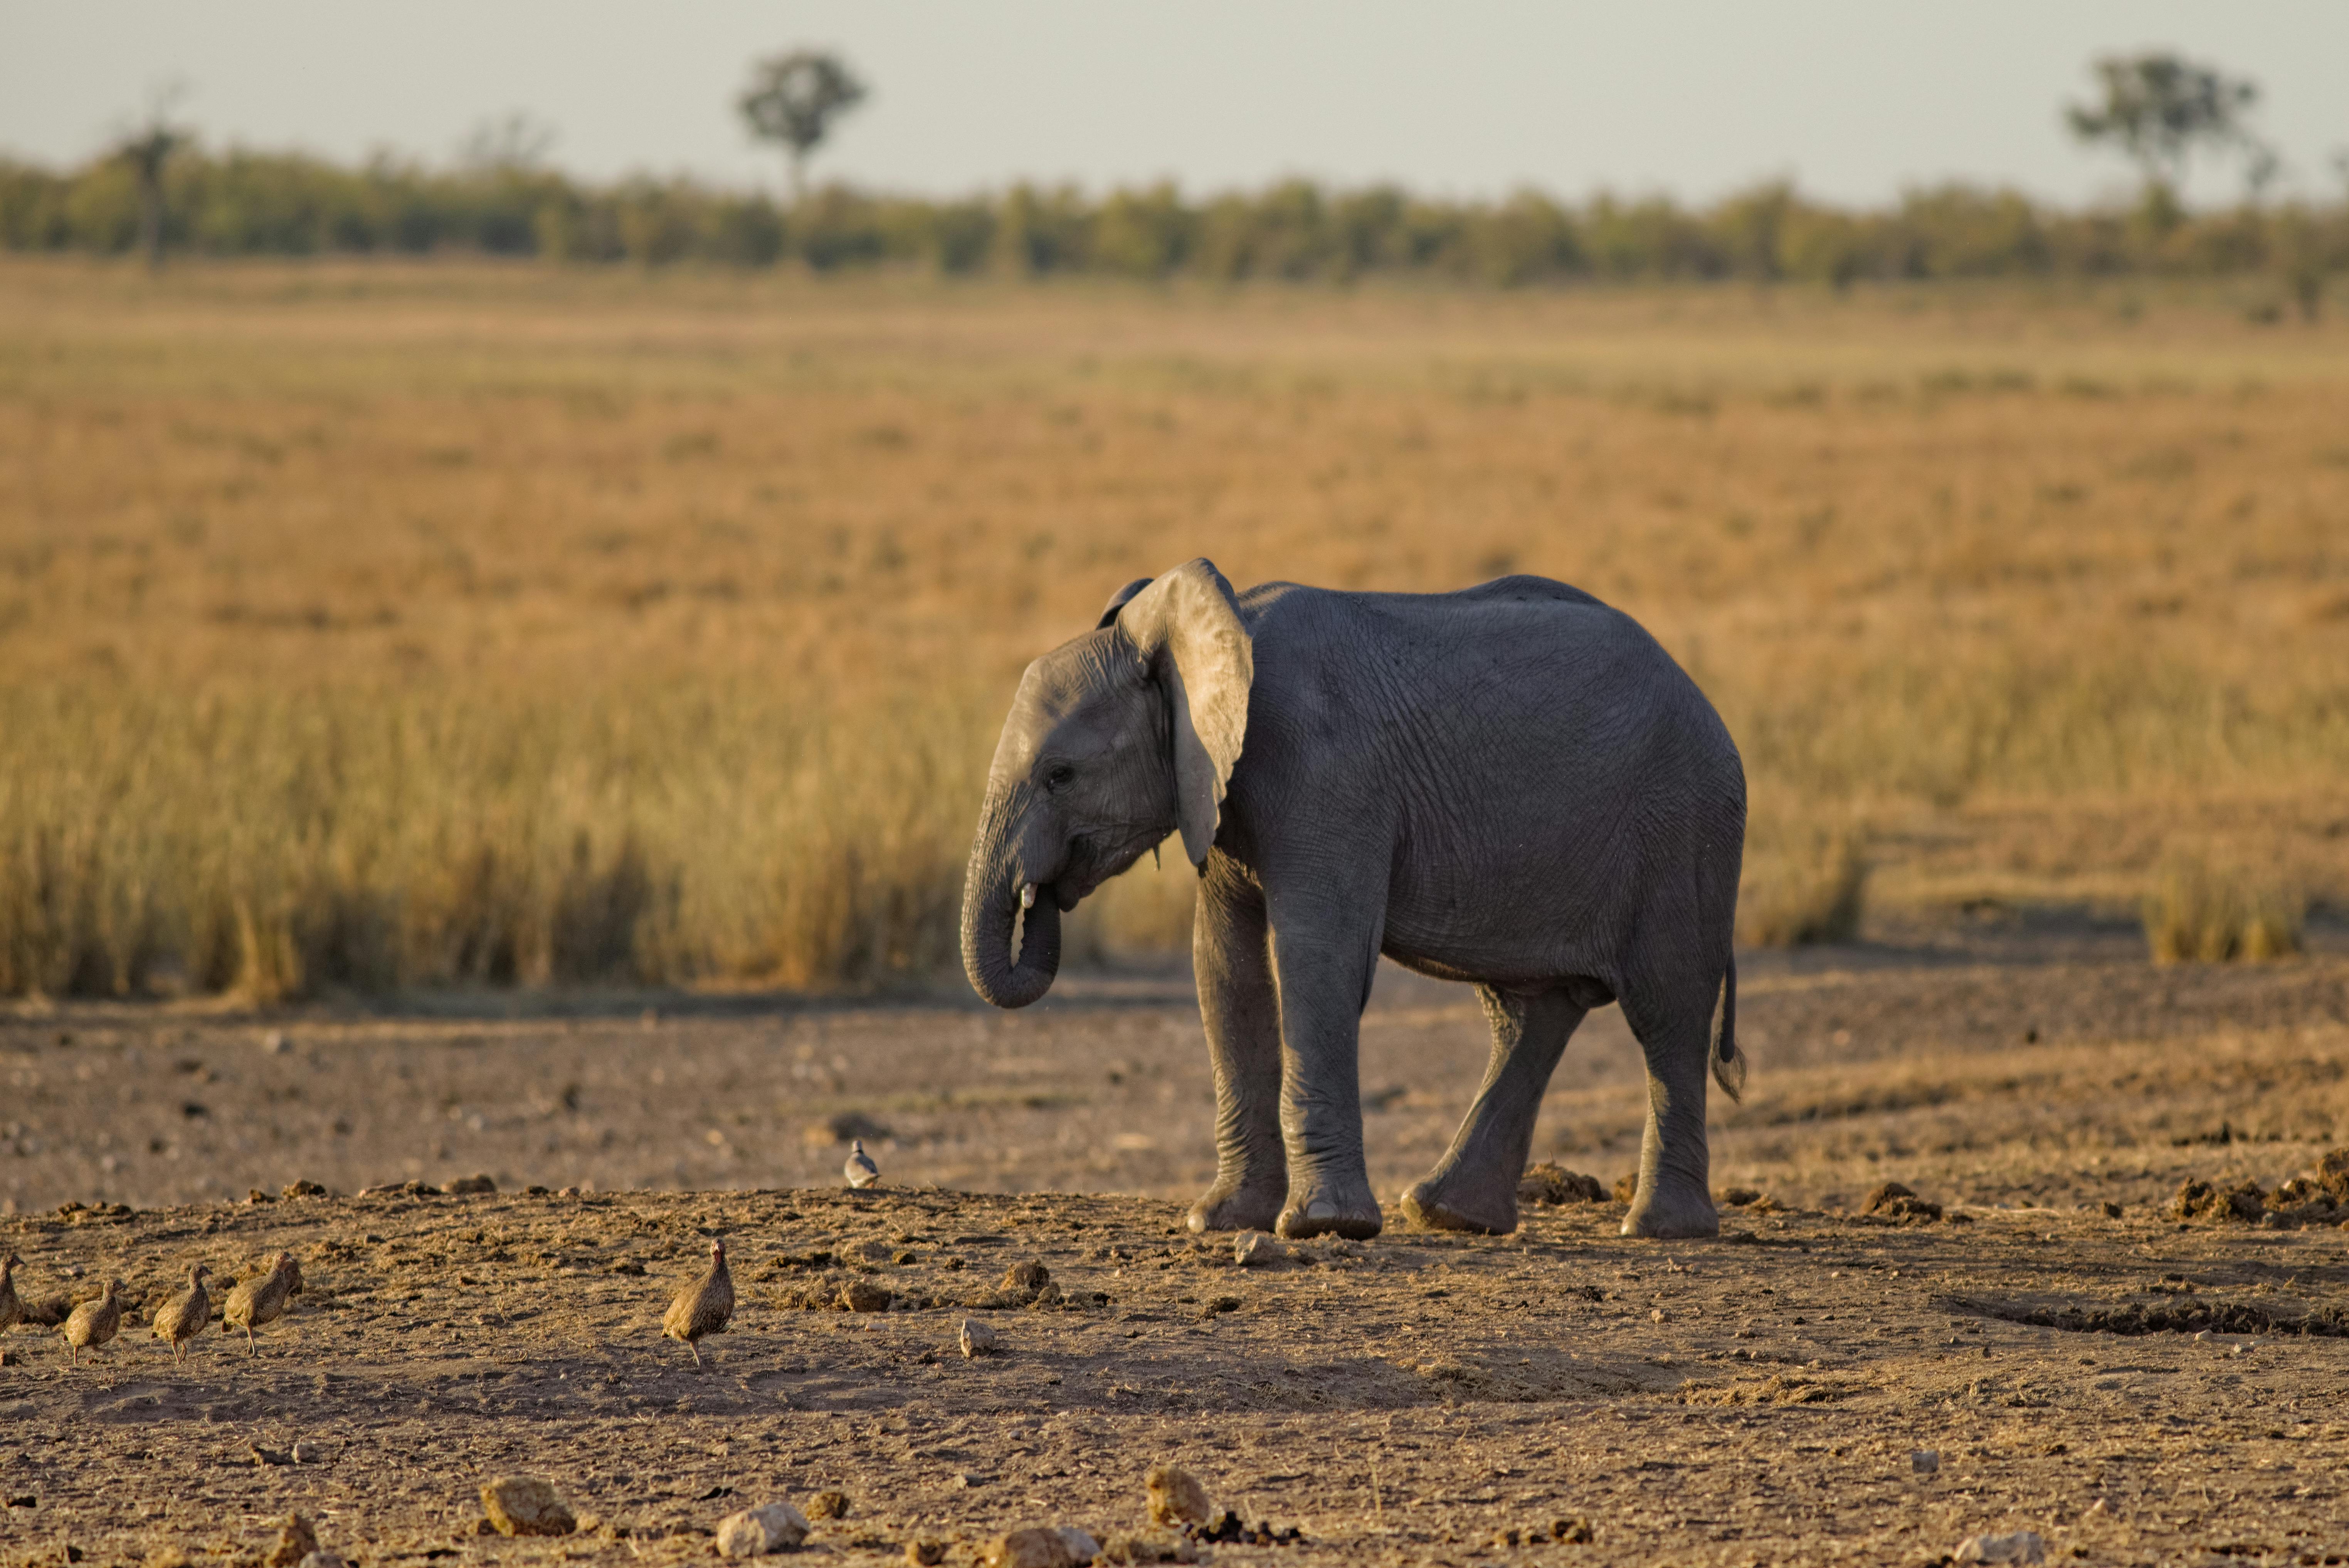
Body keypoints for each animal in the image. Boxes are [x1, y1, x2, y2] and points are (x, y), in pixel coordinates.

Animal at [953, 561, 1747, 1239]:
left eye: (1060, 775)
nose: (1040, 896)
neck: (1199, 632)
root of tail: (1710, 708)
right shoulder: (1218, 789)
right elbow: (1224, 967)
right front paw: (1220, 1220)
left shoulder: (1323, 769)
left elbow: (1315, 960)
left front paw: (1321, 1226)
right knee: (1530, 1012)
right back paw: (1445, 1213)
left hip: (1684, 828)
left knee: (1666, 1009)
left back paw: (1657, 1228)